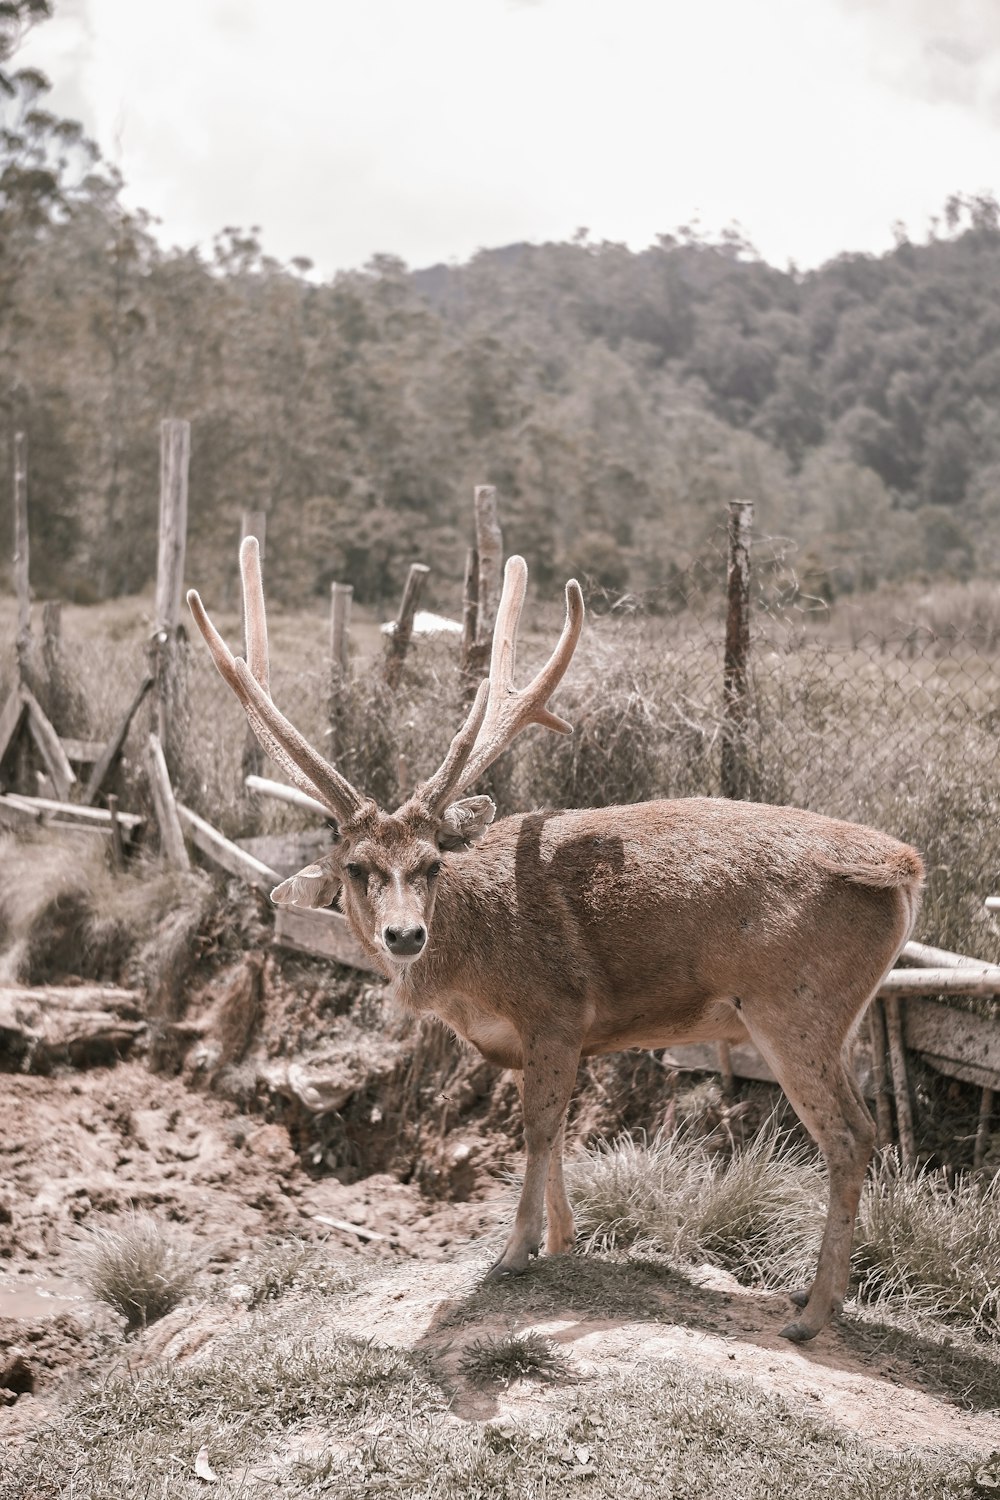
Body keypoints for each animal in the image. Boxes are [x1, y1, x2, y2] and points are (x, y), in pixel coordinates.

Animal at [185, 543, 923, 1350]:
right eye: (355, 867)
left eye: (431, 863)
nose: (405, 934)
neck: (471, 974)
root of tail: (902, 865)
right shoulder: (547, 1038)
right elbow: (559, 1130)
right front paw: (565, 1242)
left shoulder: (556, 1008)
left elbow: (536, 1132)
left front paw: (513, 1251)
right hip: (838, 1018)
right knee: (870, 1129)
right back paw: (816, 1296)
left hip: (792, 1006)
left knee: (849, 1136)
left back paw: (812, 1315)